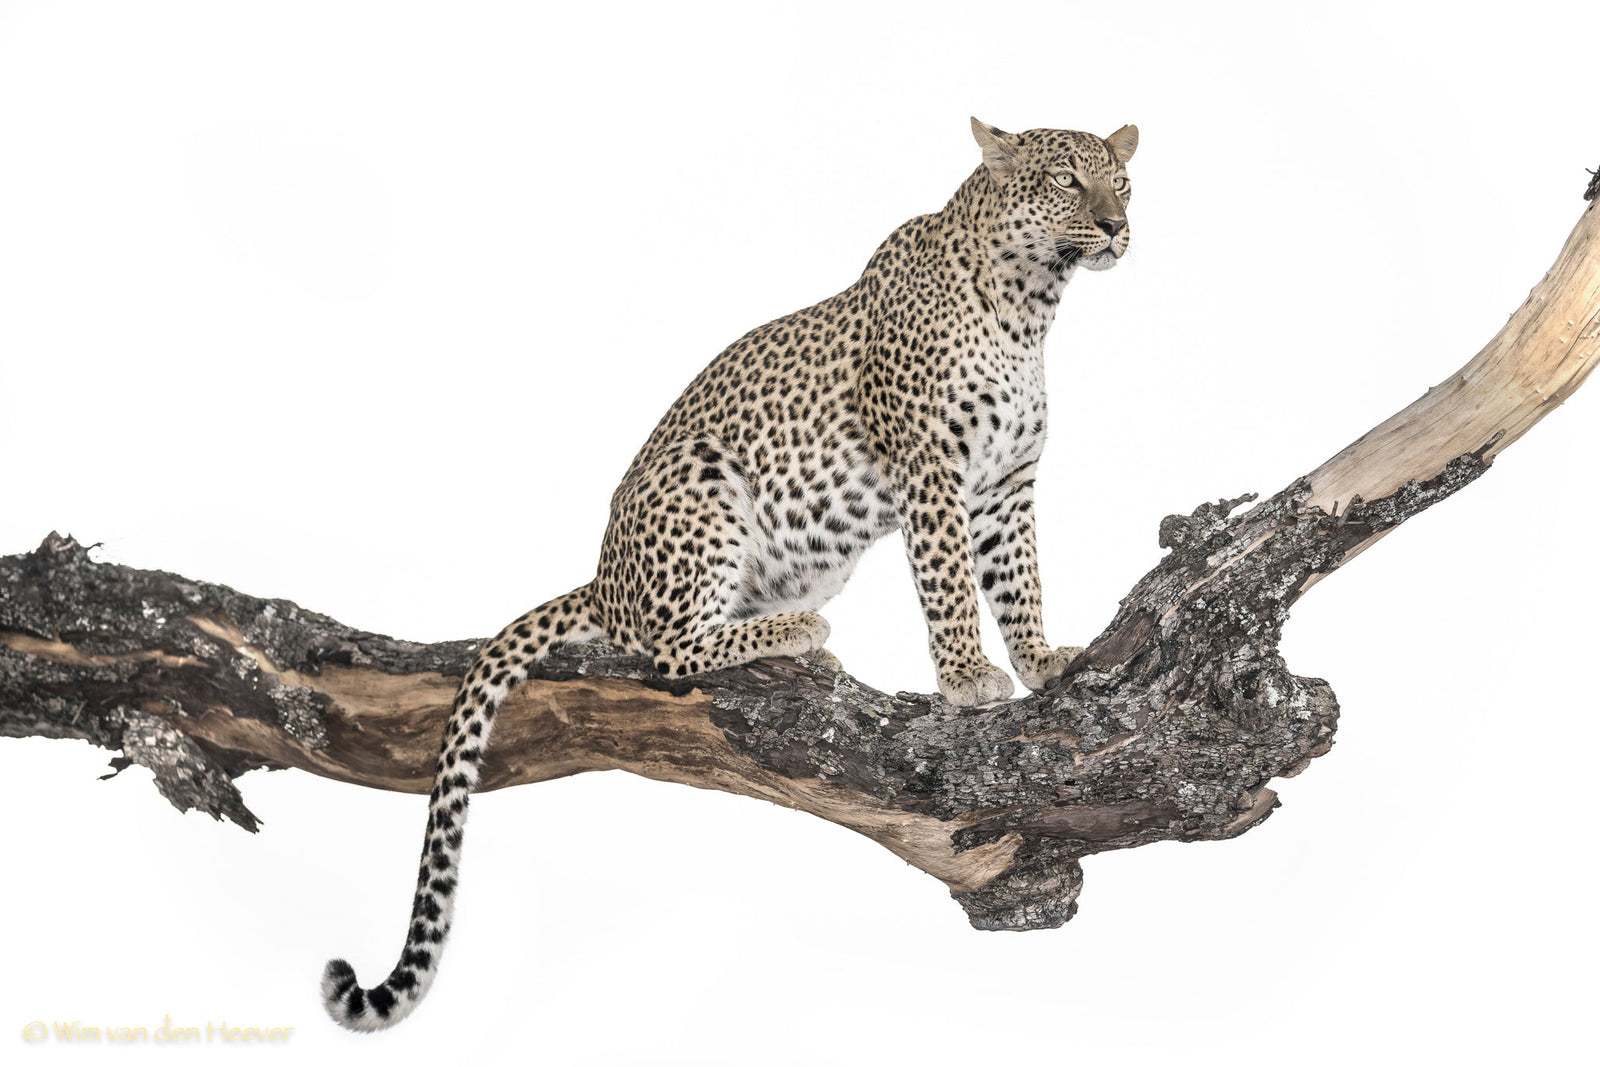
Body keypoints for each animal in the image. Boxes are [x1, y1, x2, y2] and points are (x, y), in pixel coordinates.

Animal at [322, 117, 1137, 1030]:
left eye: (1123, 184)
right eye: (1066, 181)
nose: (1115, 227)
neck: (1031, 307)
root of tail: (602, 579)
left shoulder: (1005, 487)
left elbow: (1019, 580)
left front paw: (1040, 660)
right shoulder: (929, 472)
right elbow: (951, 586)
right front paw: (967, 678)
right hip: (702, 480)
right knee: (670, 649)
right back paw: (797, 632)